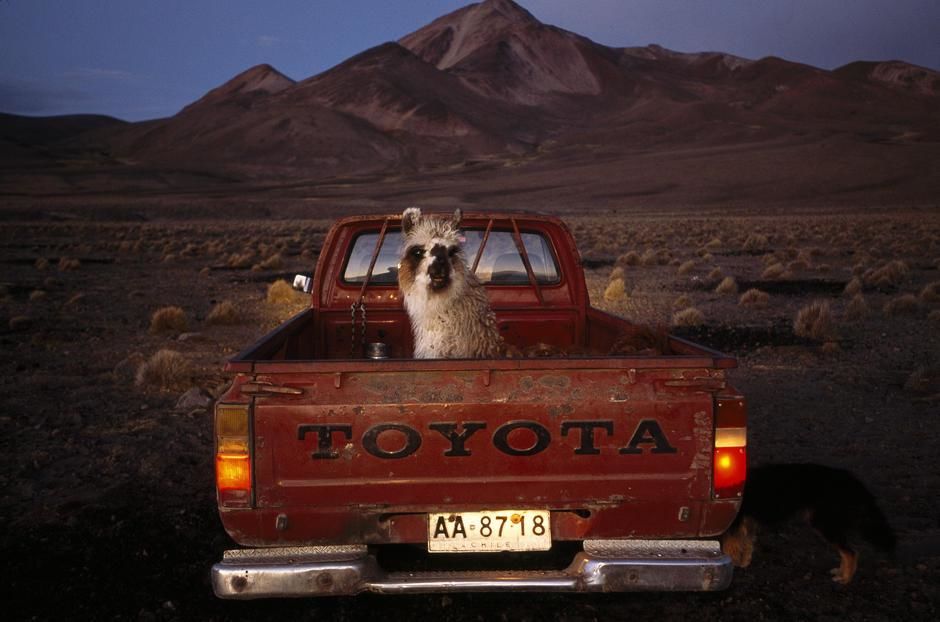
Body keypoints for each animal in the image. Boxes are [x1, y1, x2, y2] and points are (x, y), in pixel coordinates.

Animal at [720, 464, 896, 584]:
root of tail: (850, 479)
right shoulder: (746, 523)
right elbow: (746, 545)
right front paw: (743, 563)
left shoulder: (735, 524)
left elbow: (731, 548)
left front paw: (734, 567)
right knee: (847, 552)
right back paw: (840, 572)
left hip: (825, 524)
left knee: (851, 552)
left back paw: (845, 579)